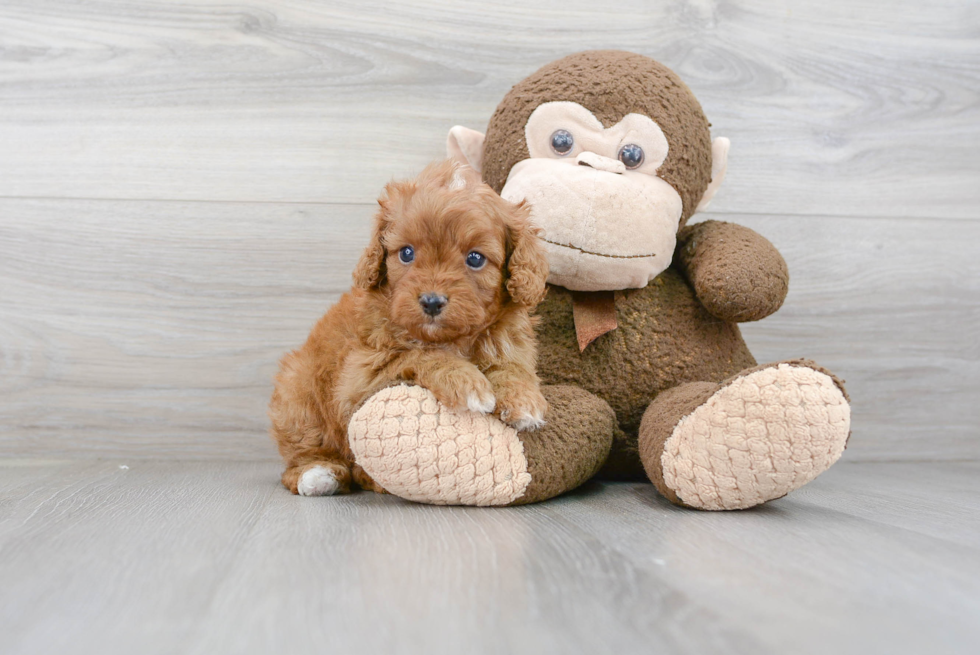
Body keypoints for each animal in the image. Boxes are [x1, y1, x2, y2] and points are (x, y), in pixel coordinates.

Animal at [268, 160, 552, 498]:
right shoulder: (359, 375)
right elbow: (418, 355)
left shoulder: (510, 343)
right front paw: (465, 381)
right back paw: (317, 474)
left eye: (475, 258)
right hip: (297, 396)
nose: (431, 301)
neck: (454, 339)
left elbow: (512, 368)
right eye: (406, 253)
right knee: (302, 453)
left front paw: (524, 401)